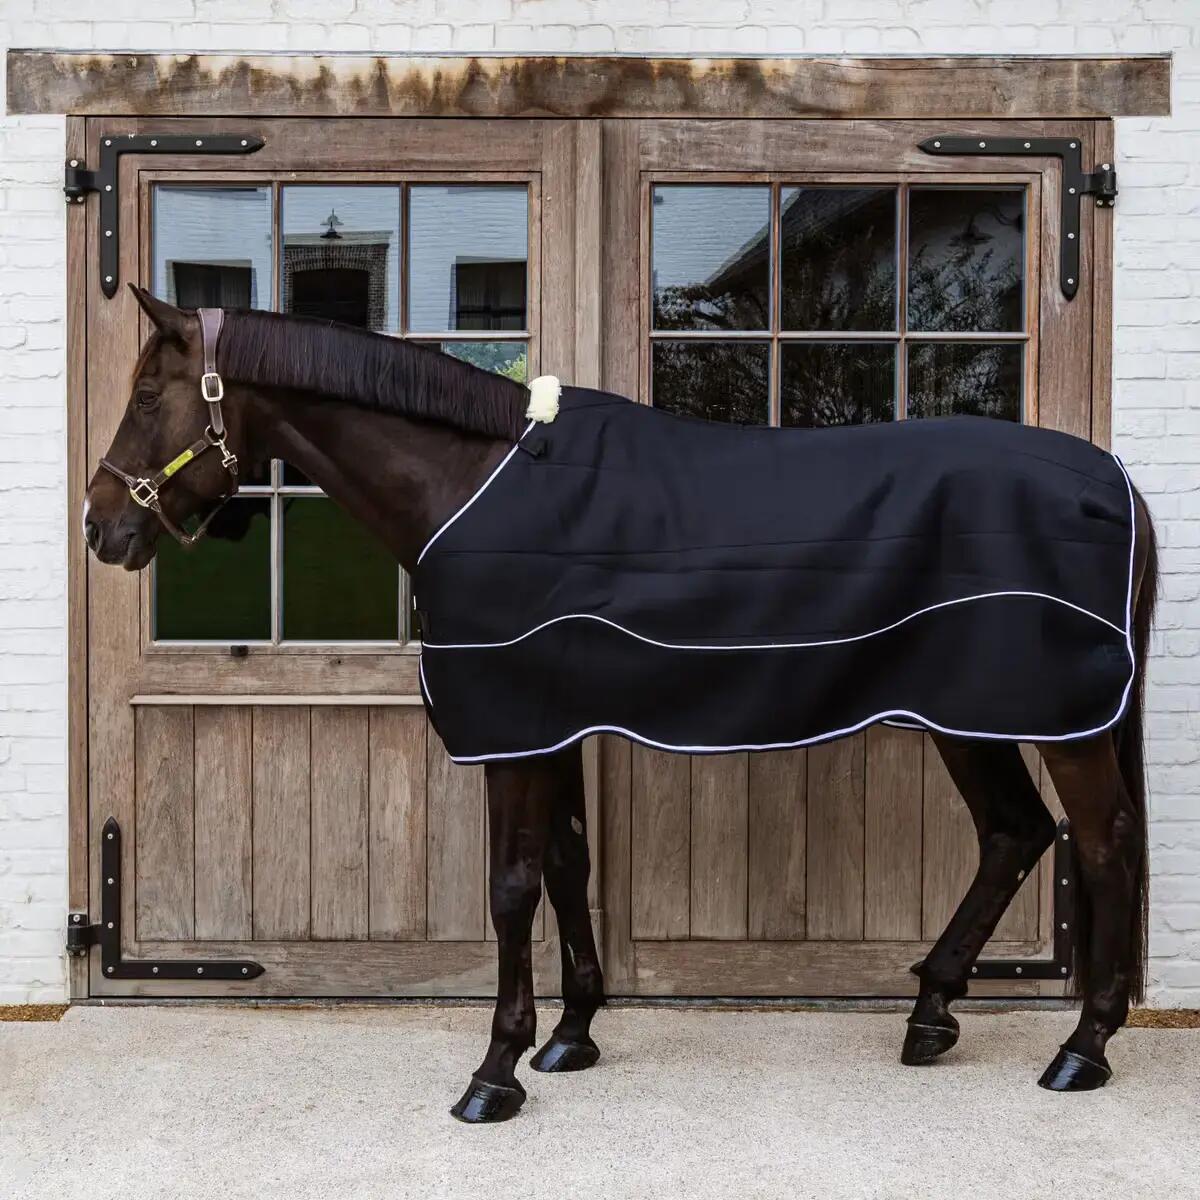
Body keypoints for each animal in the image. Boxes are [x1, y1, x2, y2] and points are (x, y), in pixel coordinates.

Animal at [83, 285, 1158, 1123]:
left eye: (146, 395)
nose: (101, 527)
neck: (470, 483)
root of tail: (1116, 485)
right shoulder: (549, 720)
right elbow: (567, 862)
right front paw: (570, 1035)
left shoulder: (512, 726)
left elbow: (512, 885)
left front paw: (495, 1074)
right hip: (972, 713)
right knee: (1016, 833)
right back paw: (933, 1013)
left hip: (1053, 724)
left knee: (1102, 845)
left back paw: (1083, 1049)